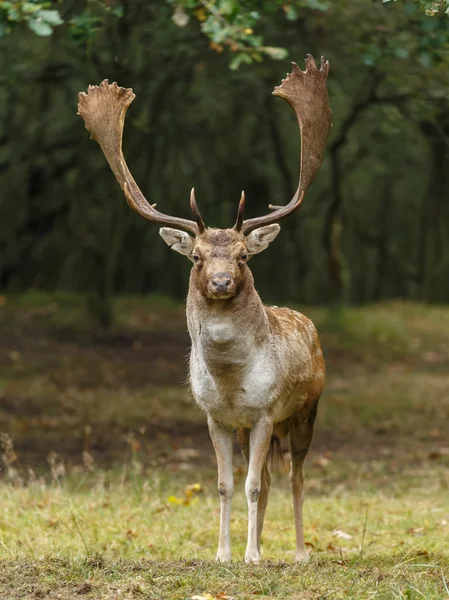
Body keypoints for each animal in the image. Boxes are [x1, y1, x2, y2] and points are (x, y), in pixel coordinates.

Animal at [77, 54, 330, 564]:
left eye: (244, 256)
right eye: (196, 256)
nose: (220, 281)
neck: (231, 381)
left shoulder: (266, 411)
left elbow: (252, 485)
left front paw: (251, 556)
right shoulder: (217, 417)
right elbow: (226, 485)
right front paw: (225, 553)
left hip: (305, 411)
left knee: (294, 476)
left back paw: (297, 551)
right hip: (255, 429)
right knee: (268, 476)